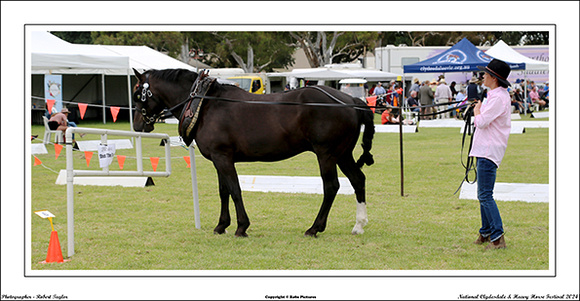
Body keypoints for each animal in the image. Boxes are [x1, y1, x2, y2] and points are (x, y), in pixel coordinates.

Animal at [133, 68, 376, 237]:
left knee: (331, 186)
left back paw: (315, 228)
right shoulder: (219, 159)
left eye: (138, 95)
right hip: (342, 154)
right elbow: (223, 191)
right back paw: (359, 225)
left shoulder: (223, 158)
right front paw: (221, 225)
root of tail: (351, 101)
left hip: (326, 154)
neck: (206, 105)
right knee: (358, 180)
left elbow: (234, 189)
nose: (137, 125)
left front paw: (241, 227)